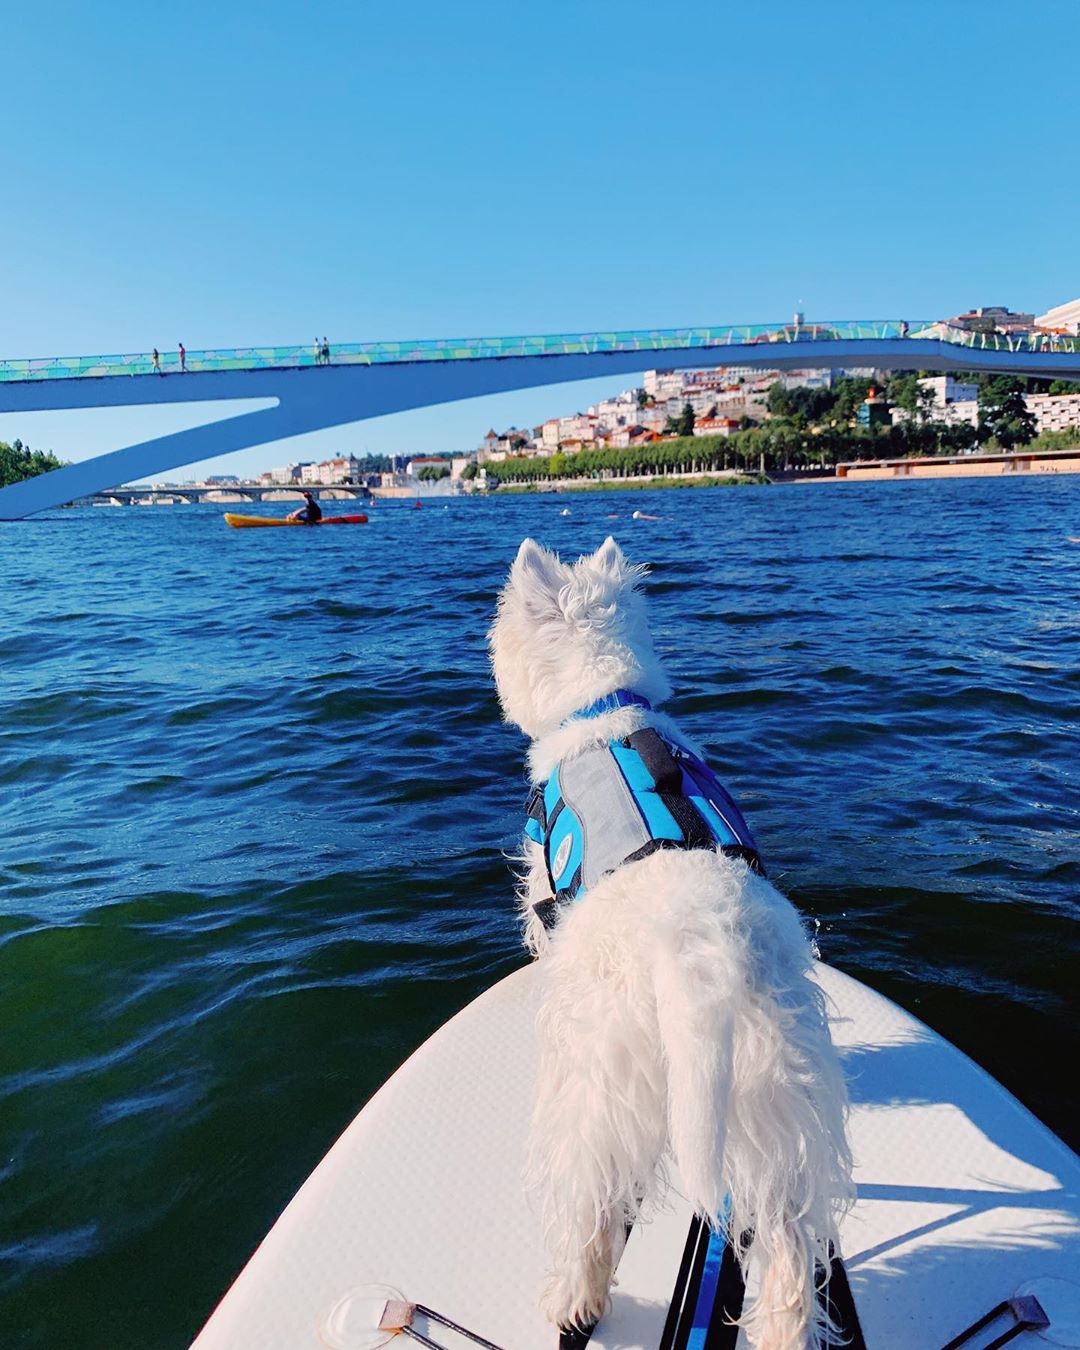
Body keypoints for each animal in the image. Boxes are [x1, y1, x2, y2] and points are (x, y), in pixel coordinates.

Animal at [488, 537, 853, 1350]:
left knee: (591, 1202)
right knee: (787, 1248)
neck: (607, 707)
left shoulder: (540, 880)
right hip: (771, 1092)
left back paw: (572, 1299)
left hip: (597, 1085)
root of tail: (700, 950)